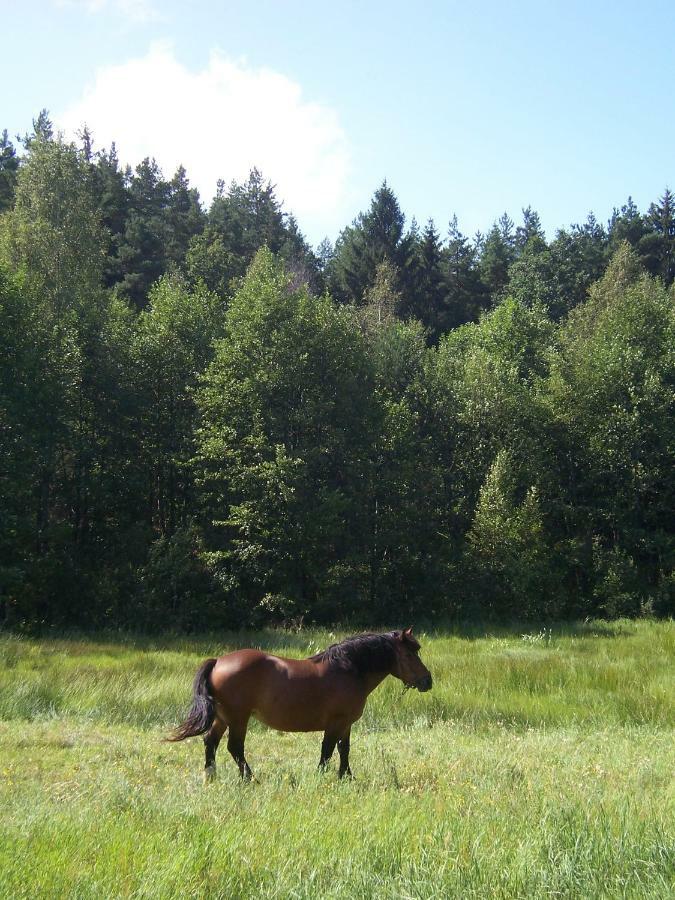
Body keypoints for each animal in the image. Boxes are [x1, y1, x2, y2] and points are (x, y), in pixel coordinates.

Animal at [169, 624, 434, 780]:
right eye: (410, 654)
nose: (428, 681)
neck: (348, 669)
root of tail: (218, 661)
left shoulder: (346, 724)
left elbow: (344, 749)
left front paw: (347, 777)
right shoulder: (335, 722)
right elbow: (327, 750)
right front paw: (322, 777)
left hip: (223, 718)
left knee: (210, 742)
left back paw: (211, 777)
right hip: (238, 719)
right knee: (234, 748)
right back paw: (250, 779)